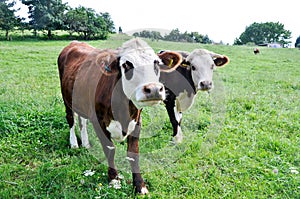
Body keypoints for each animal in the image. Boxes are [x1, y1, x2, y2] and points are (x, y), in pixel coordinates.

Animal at [57, 38, 182, 194]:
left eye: (156, 63)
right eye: (127, 64)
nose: (153, 89)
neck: (123, 110)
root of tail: (75, 43)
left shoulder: (137, 122)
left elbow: (133, 154)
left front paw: (140, 185)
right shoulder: (98, 121)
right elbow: (109, 149)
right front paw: (113, 180)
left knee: (82, 120)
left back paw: (85, 143)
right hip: (66, 99)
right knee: (71, 119)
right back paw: (74, 143)